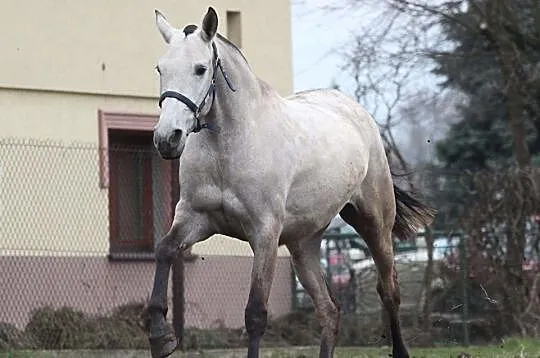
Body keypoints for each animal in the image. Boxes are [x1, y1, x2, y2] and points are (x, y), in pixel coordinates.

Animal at [147, 7, 434, 358]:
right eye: (161, 68)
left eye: (201, 69)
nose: (167, 138)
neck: (229, 148)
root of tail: (358, 113)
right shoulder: (195, 219)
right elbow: (164, 250)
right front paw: (160, 336)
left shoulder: (265, 234)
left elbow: (256, 314)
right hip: (303, 244)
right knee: (329, 309)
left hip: (374, 224)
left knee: (388, 290)